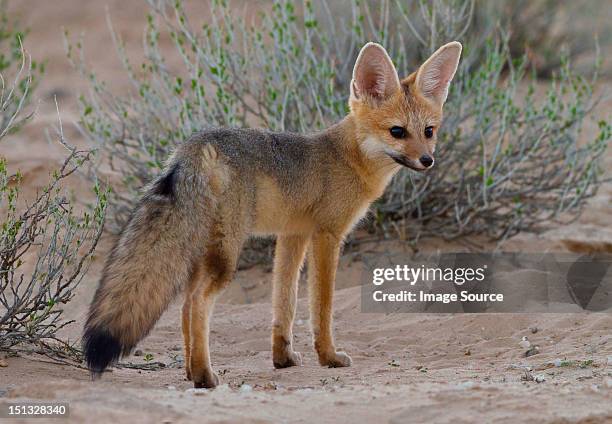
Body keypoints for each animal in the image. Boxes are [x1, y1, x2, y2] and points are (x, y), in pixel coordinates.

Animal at [83, 40, 462, 388]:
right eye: (397, 131)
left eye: (429, 131)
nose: (427, 160)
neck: (347, 157)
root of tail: (195, 145)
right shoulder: (327, 235)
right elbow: (321, 306)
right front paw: (328, 356)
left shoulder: (292, 235)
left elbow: (285, 300)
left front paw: (283, 357)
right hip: (227, 255)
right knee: (198, 302)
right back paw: (204, 375)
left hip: (205, 251)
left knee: (187, 305)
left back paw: (191, 369)